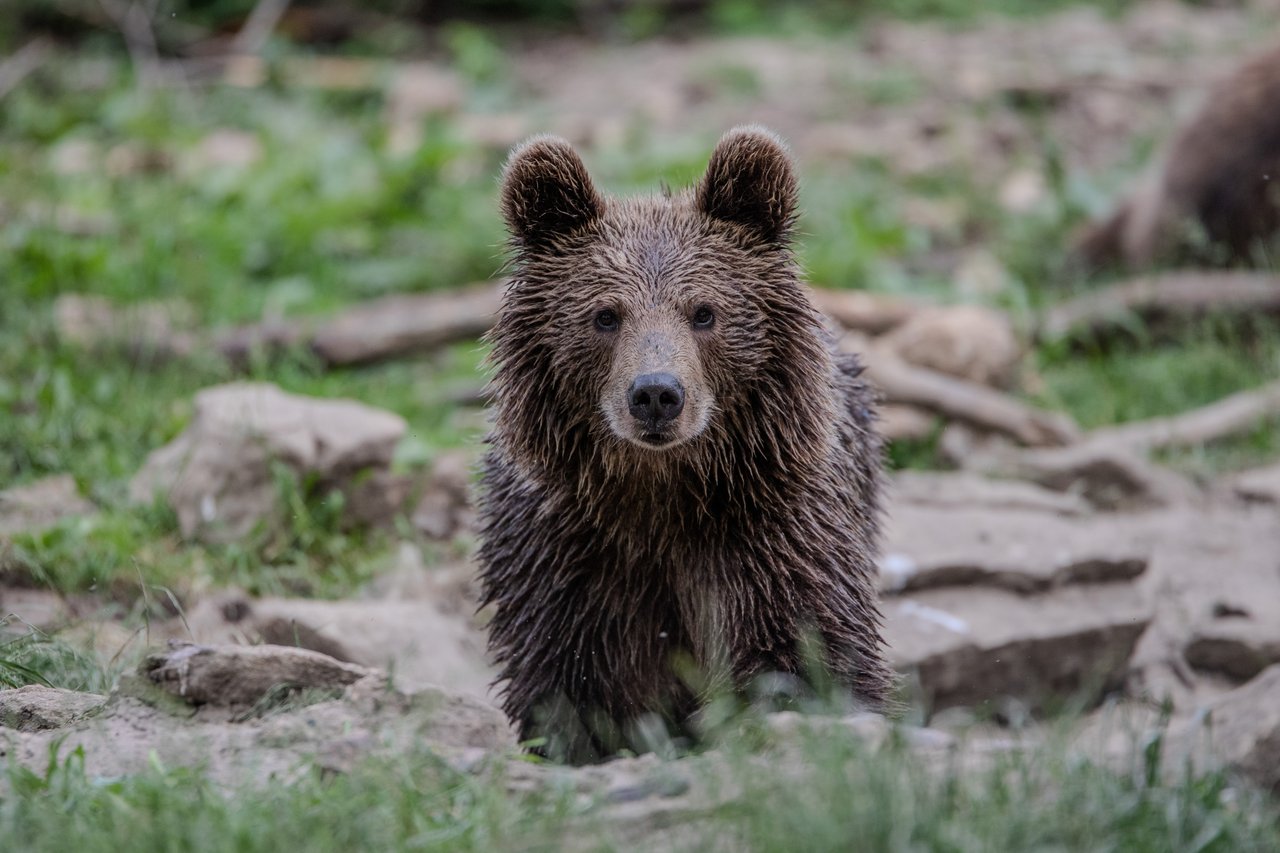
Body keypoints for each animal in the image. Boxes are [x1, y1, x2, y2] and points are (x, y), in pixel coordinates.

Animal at [476, 126, 892, 763]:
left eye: (704, 312)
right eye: (605, 315)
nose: (655, 393)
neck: (662, 494)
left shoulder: (771, 531)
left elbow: (808, 653)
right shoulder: (565, 556)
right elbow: (569, 689)